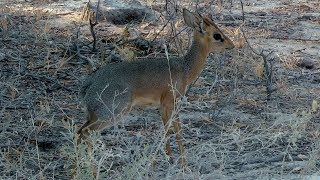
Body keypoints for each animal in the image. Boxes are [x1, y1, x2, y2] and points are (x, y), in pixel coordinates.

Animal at [76, 8, 234, 166]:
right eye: (217, 35)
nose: (231, 45)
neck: (185, 68)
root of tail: (89, 84)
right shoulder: (169, 103)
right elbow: (174, 130)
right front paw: (179, 162)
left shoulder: (166, 106)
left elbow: (170, 128)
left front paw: (172, 158)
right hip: (111, 114)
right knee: (85, 132)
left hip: (95, 115)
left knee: (80, 131)